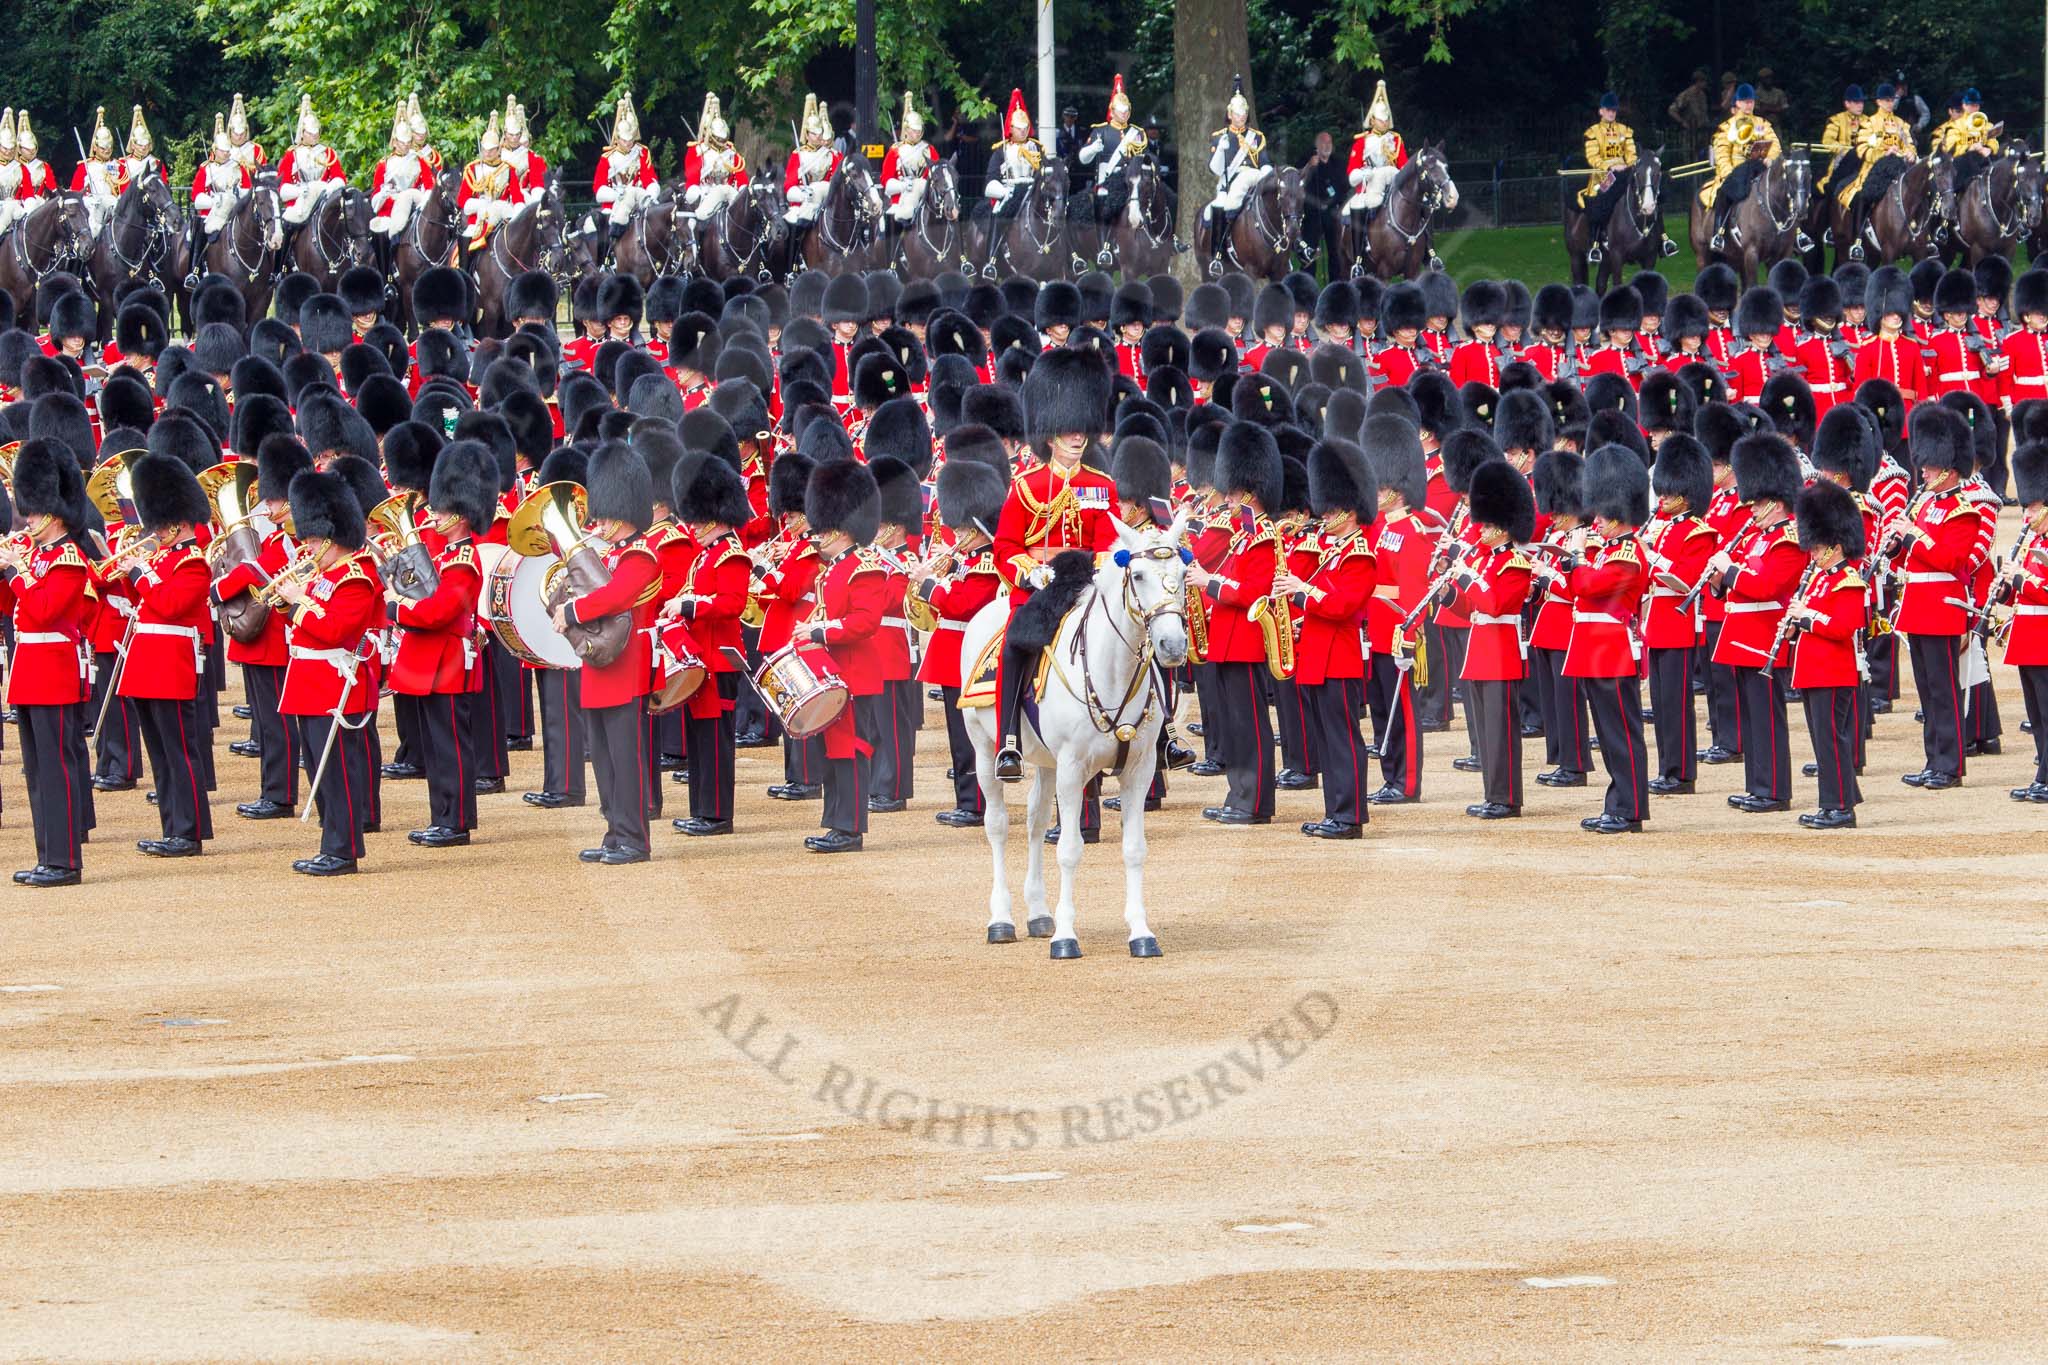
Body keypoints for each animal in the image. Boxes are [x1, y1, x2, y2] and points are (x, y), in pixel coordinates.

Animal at [962, 517, 1196, 965]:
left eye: (1181, 574)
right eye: (1138, 576)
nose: (1172, 647)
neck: (1111, 671)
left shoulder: (1139, 771)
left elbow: (1134, 849)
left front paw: (1141, 933)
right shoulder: (1073, 770)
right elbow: (1069, 850)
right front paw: (1066, 938)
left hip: (1046, 762)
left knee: (1035, 821)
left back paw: (1038, 913)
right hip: (985, 750)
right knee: (997, 825)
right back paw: (1001, 919)